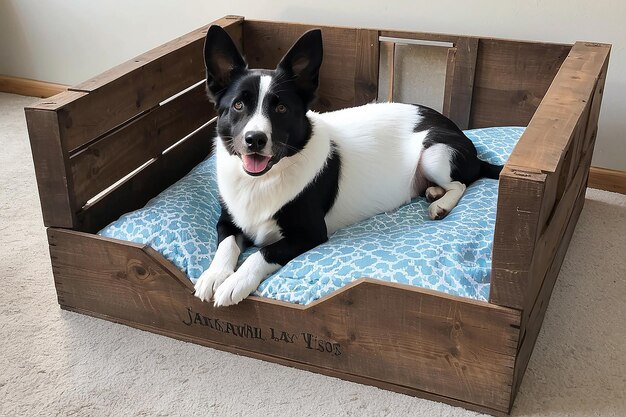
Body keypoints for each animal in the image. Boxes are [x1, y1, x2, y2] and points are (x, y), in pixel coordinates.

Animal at [193, 25, 500, 306]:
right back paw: (434, 192)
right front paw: (214, 275)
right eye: (238, 105)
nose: (254, 139)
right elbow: (225, 243)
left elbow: (262, 253)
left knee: (461, 182)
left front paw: (236, 282)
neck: (262, 180)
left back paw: (441, 203)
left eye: (281, 109)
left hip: (434, 151)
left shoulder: (310, 233)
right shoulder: (227, 220)